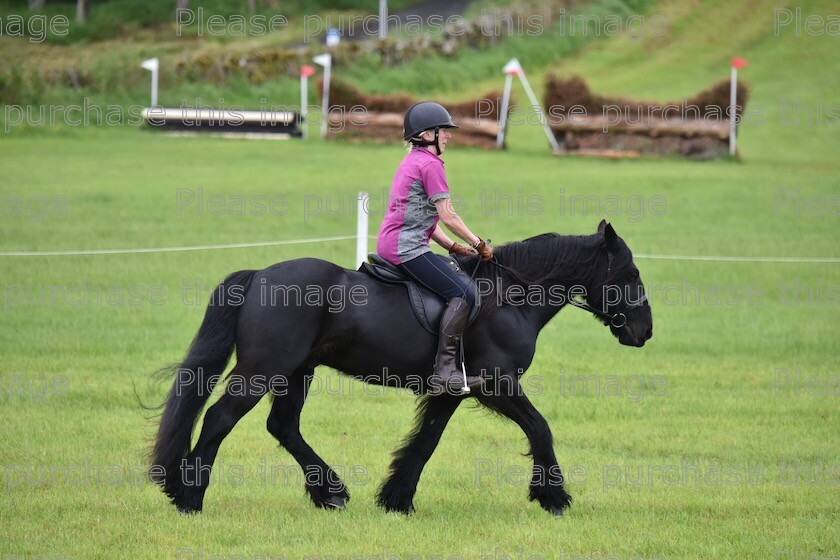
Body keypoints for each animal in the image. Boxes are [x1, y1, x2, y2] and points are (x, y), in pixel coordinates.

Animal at [149, 221, 648, 516]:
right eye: (630, 276)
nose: (644, 331)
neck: (511, 298)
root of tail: (258, 277)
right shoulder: (498, 384)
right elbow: (541, 428)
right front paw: (554, 497)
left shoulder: (453, 390)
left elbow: (425, 441)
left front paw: (396, 499)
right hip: (262, 370)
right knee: (219, 418)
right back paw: (189, 497)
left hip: (296, 372)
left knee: (283, 427)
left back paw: (330, 492)